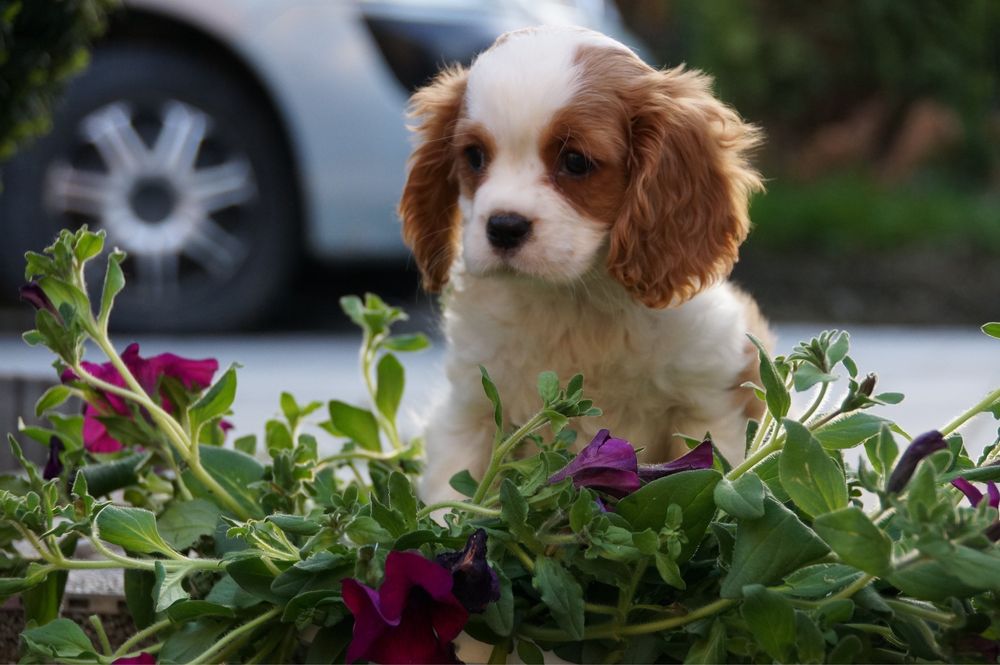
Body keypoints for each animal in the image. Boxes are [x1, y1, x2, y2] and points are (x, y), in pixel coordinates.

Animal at [398, 28, 772, 500]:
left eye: (575, 161)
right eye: (475, 157)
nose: (503, 226)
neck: (575, 300)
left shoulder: (709, 404)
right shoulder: (470, 411)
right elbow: (453, 497)